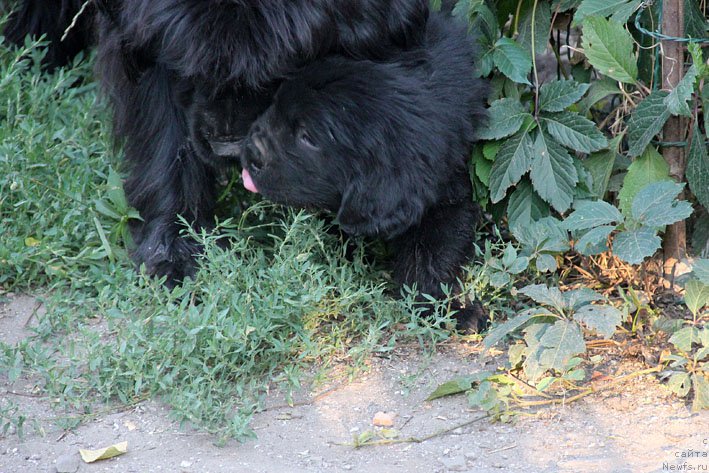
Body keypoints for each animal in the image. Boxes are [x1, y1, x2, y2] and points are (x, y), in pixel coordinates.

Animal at [241, 12, 490, 328]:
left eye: (307, 137)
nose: (250, 152)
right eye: (275, 103)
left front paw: (443, 307)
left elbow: (431, 251)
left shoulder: (447, 186)